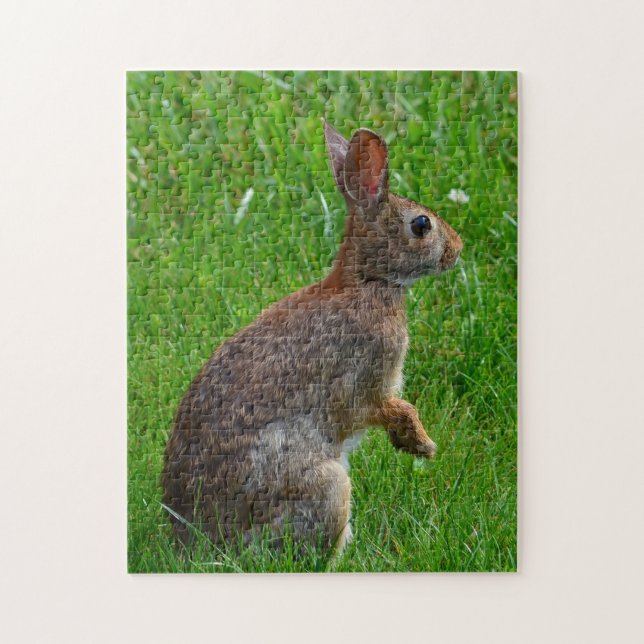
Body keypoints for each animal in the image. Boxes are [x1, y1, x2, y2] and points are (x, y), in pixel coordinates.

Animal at [161, 122, 463, 555]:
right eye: (421, 225)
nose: (457, 249)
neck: (369, 281)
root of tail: (197, 541)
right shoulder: (364, 379)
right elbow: (387, 408)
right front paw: (422, 444)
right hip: (327, 486)